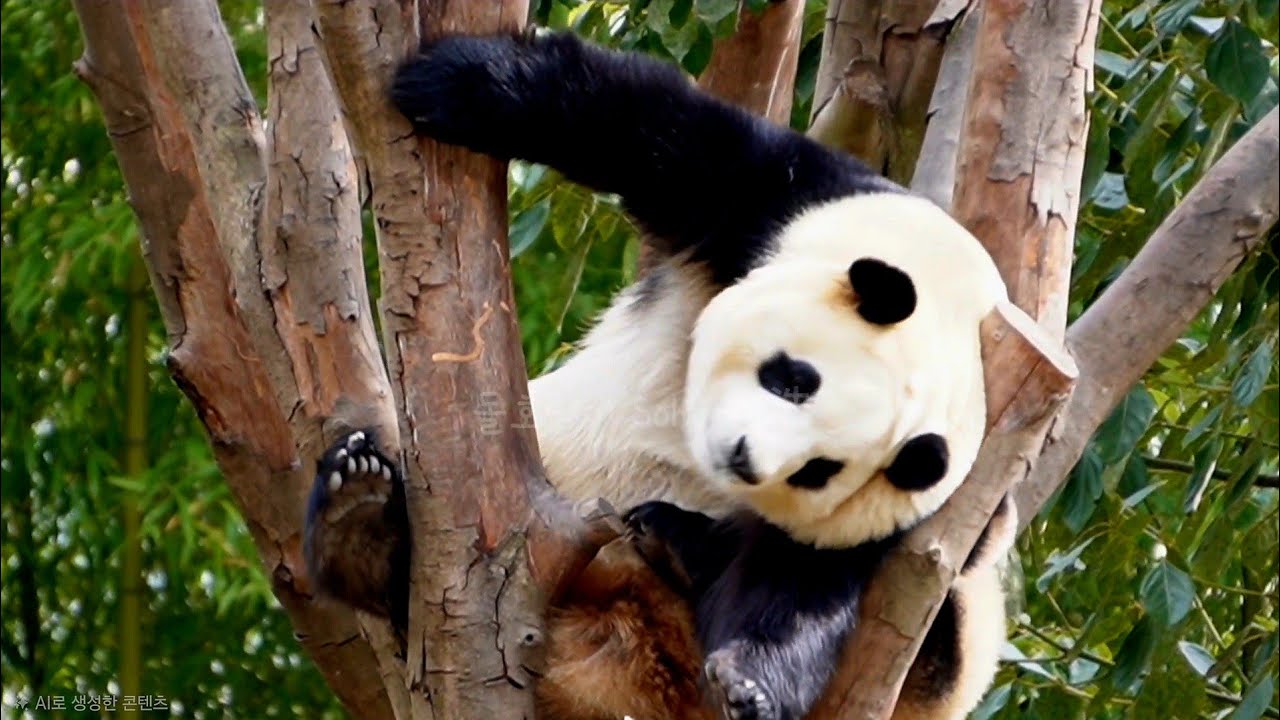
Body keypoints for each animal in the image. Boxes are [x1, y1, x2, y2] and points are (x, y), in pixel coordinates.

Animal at [303, 31, 1016, 720]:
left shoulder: (905, 519)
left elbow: (802, 583)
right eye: (793, 379)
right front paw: (452, 82)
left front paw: (751, 682)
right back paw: (360, 520)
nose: (742, 458)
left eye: (818, 470)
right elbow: (656, 133)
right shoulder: (799, 205)